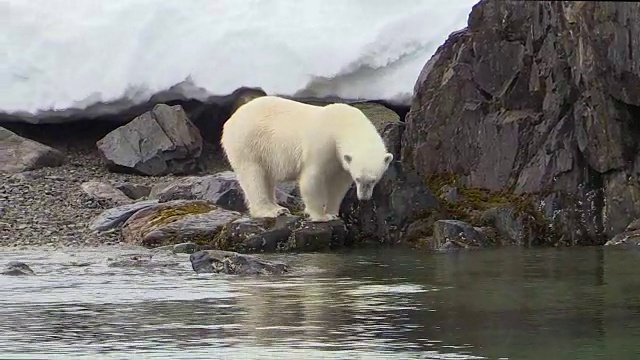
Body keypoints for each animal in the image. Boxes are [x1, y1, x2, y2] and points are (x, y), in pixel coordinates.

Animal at [221, 95, 396, 222]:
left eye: (374, 180)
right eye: (358, 179)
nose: (364, 198)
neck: (344, 123)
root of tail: (230, 121)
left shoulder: (341, 161)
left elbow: (338, 185)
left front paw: (333, 212)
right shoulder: (323, 143)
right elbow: (313, 178)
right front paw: (322, 216)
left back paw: (278, 207)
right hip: (249, 143)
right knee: (254, 176)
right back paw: (271, 210)